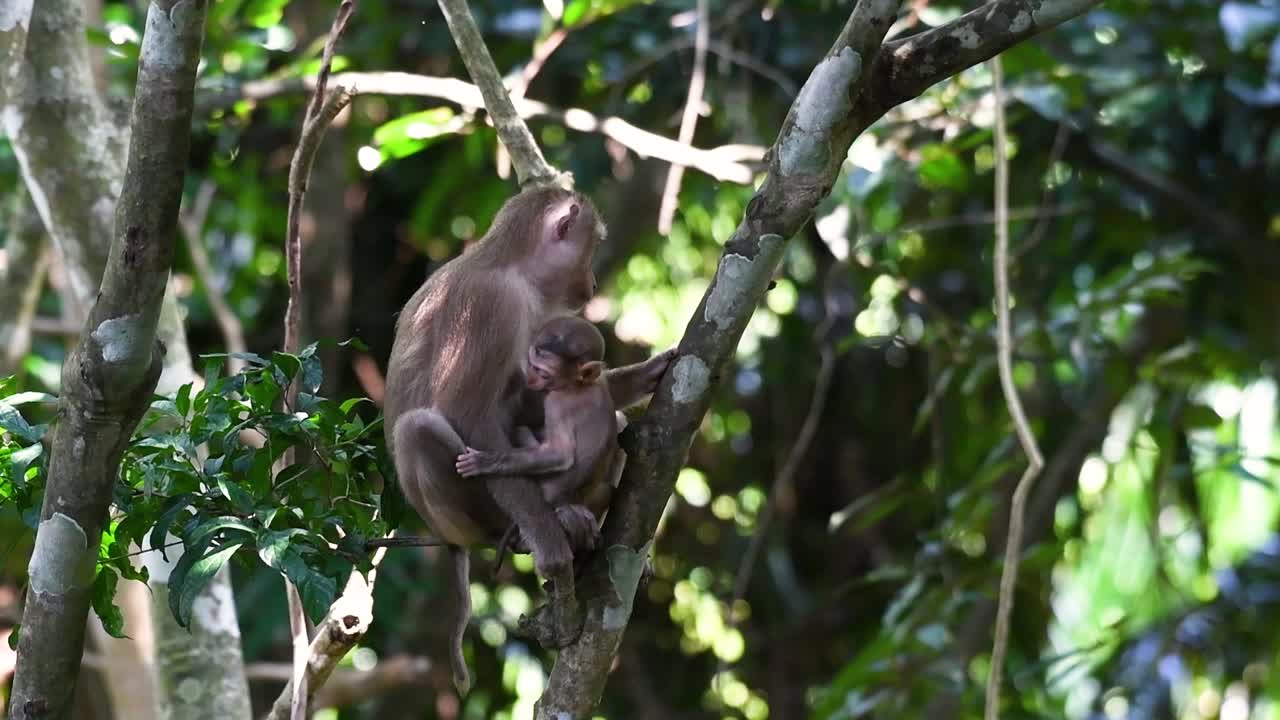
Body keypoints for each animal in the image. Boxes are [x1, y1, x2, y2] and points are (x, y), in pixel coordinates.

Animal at [383, 185, 674, 695]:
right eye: (590, 249)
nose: (591, 283)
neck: (509, 266)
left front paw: (645, 375)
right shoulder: (491, 306)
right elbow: (467, 413)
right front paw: (551, 544)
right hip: (469, 512)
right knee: (417, 428)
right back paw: (538, 525)